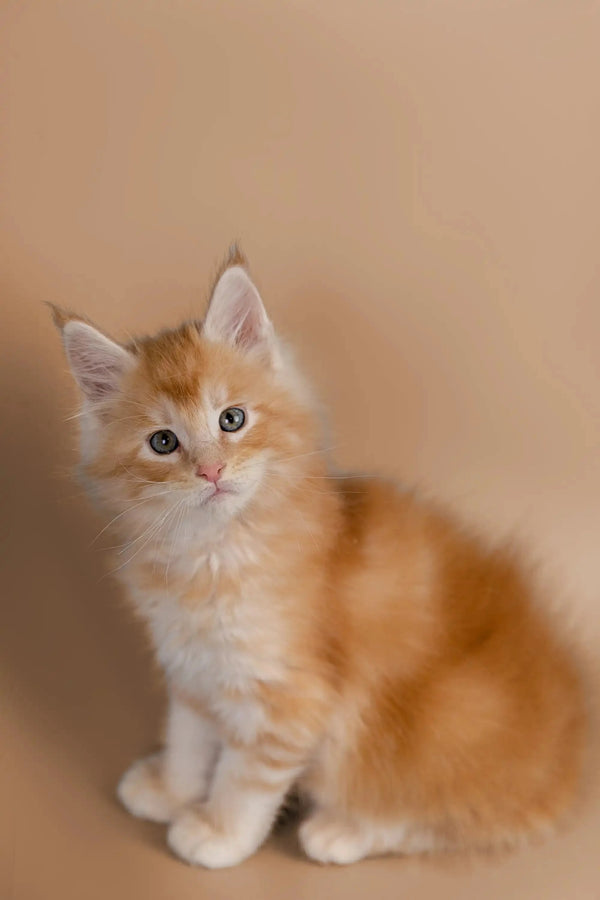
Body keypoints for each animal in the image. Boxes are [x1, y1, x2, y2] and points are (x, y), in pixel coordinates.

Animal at [51, 250, 584, 868]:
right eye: (163, 442)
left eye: (231, 419)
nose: (211, 471)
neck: (212, 552)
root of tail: (571, 744)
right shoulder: (194, 670)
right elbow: (188, 738)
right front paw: (170, 788)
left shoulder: (287, 696)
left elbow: (244, 777)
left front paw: (216, 832)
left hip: (448, 719)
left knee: (447, 812)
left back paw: (340, 830)